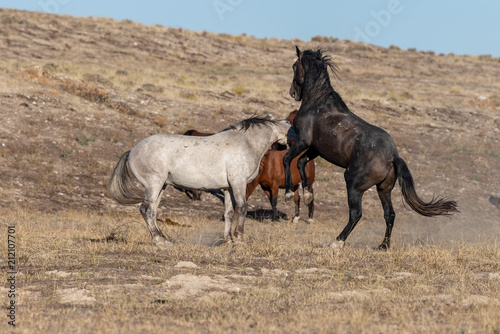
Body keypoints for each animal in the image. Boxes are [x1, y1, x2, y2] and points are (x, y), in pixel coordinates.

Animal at [108, 116, 290, 247]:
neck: (246, 143)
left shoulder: (228, 188)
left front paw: (228, 240)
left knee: (151, 211)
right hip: (154, 184)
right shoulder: (239, 183)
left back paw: (164, 239)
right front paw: (239, 238)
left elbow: (229, 213)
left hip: (161, 186)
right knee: (146, 209)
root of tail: (132, 150)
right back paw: (160, 241)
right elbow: (243, 208)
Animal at [282, 47, 458, 250]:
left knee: (356, 214)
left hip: (353, 184)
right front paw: (308, 194)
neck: (318, 103)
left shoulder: (303, 141)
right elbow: (301, 163)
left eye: (294, 65)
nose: (292, 92)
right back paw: (383, 246)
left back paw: (337, 242)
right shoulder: (315, 148)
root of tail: (392, 156)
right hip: (384, 189)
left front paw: (288, 193)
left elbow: (288, 159)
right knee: (390, 214)